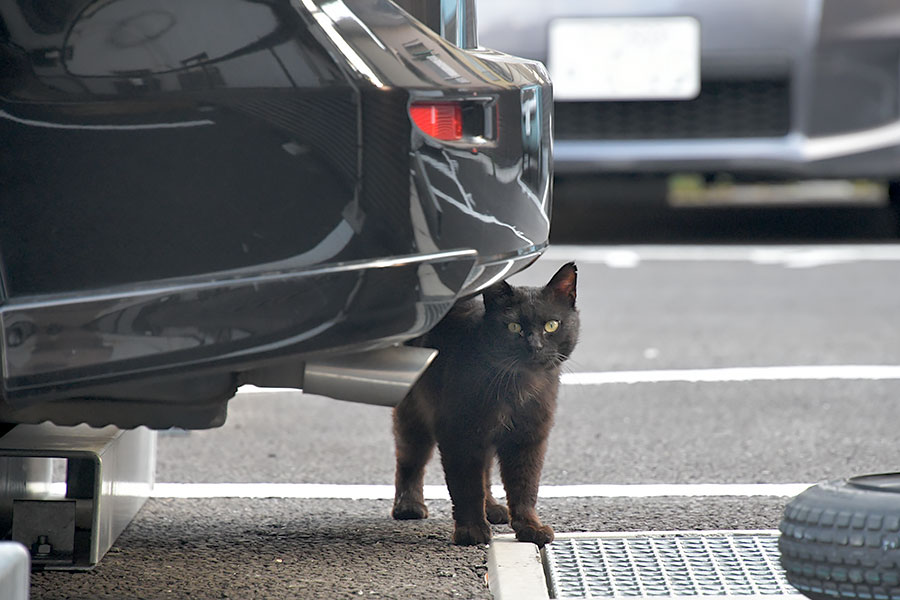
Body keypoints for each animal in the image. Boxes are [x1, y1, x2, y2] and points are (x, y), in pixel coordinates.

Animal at [392, 262, 576, 544]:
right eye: (513, 327)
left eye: (552, 325)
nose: (534, 345)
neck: (519, 385)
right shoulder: (459, 434)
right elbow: (467, 485)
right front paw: (472, 531)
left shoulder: (528, 437)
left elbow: (525, 486)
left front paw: (530, 528)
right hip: (416, 413)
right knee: (411, 458)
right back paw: (409, 505)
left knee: (486, 471)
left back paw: (492, 508)